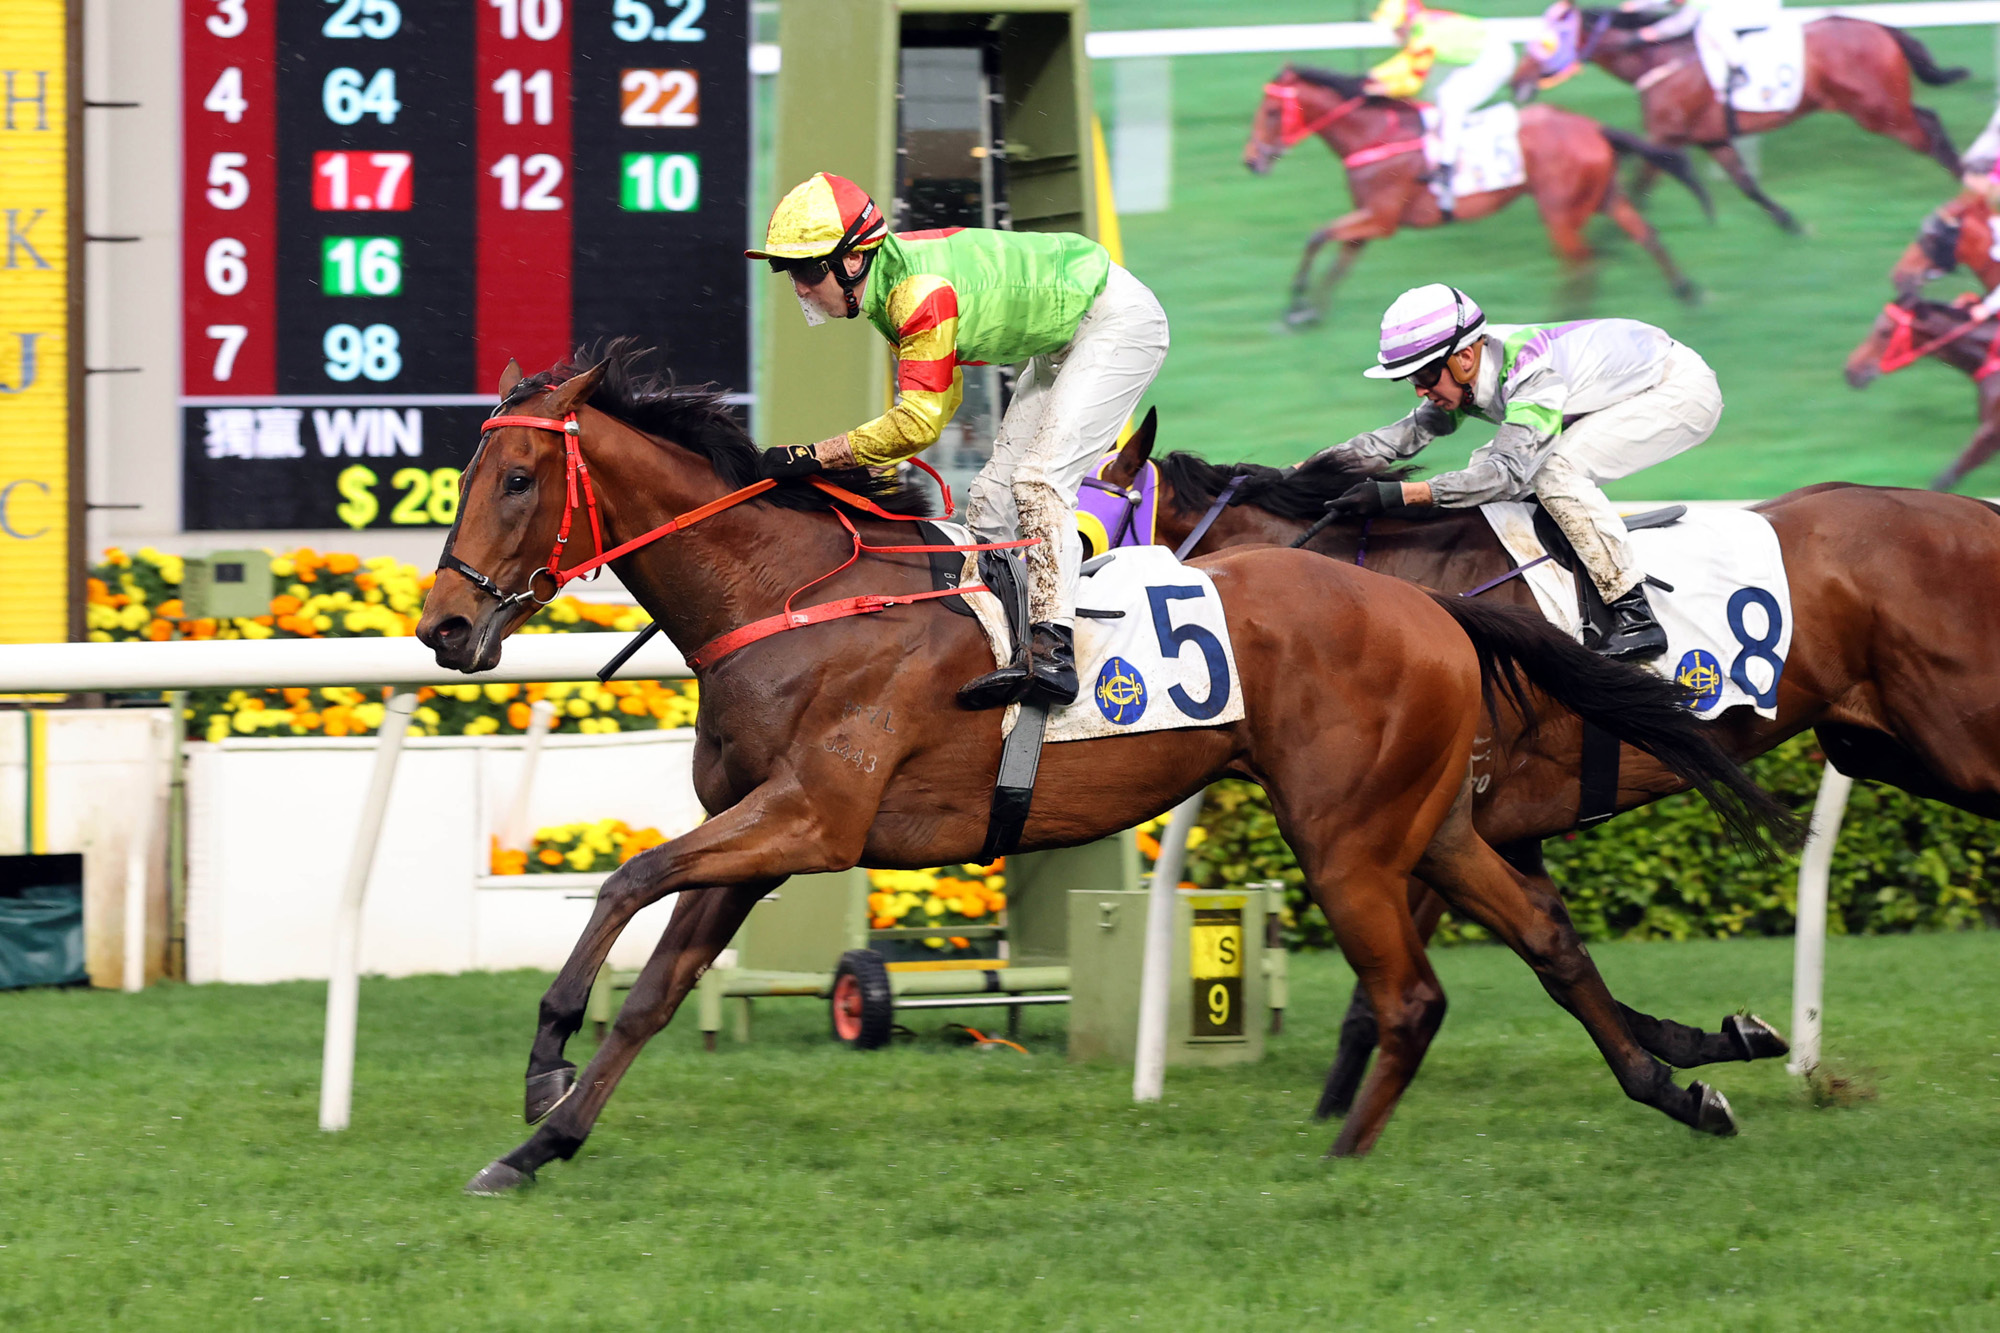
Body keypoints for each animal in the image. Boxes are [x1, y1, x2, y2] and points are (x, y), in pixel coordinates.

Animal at [415, 343, 1798, 1190]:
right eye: (470, 473)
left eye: (519, 476)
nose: (443, 626)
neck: (791, 596)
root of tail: (1429, 604)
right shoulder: (760, 838)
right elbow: (654, 985)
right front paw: (540, 1143)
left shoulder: (810, 817)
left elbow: (618, 882)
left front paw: (542, 1057)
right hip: (1435, 822)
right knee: (1547, 942)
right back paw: (1683, 1089)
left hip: (1346, 832)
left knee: (1412, 992)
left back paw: (1341, 1164)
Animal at [1090, 429, 2000, 1115]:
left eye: (1087, 530)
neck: (1373, 592)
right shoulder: (1499, 830)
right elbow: (1559, 947)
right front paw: (1718, 1041)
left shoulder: (1426, 823)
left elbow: (1389, 987)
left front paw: (1339, 1106)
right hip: (1882, 744)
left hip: (1957, 740)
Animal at [1246, 64, 1709, 327]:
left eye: (1270, 112)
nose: (1251, 162)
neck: (1375, 136)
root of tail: (1593, 127)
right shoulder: (1369, 218)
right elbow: (1338, 261)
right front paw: (1310, 312)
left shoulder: (1381, 218)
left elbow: (1317, 237)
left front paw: (1295, 307)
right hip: (1603, 196)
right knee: (1645, 235)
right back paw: (1688, 294)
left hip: (1560, 211)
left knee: (1583, 261)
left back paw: (1560, 320)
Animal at [1517, 4, 1965, 234]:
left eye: (1543, 43)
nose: (1517, 82)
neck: (1659, 59)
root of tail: (1878, 25)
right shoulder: (1711, 137)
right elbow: (1746, 183)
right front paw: (1788, 222)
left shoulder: (1666, 135)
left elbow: (1640, 186)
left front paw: (1614, 237)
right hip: (1884, 107)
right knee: (1929, 120)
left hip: (1879, 112)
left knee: (1929, 131)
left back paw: (1965, 183)